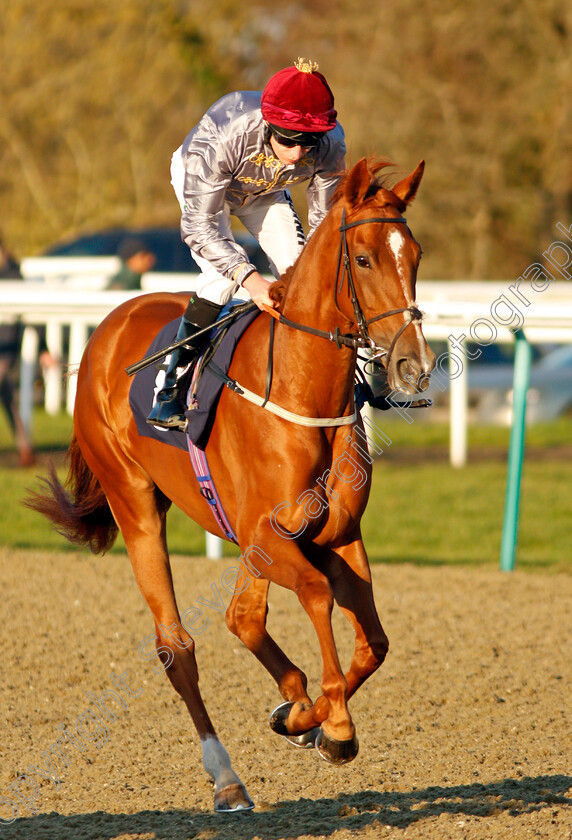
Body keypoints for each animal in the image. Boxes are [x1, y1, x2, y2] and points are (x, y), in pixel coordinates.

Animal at [24, 158, 432, 812]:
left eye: (415, 254)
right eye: (365, 259)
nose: (412, 366)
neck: (300, 390)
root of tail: (106, 327)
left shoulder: (334, 533)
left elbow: (374, 641)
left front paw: (305, 717)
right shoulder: (265, 532)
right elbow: (316, 595)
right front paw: (336, 725)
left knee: (242, 617)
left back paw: (294, 705)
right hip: (135, 504)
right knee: (177, 646)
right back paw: (227, 778)